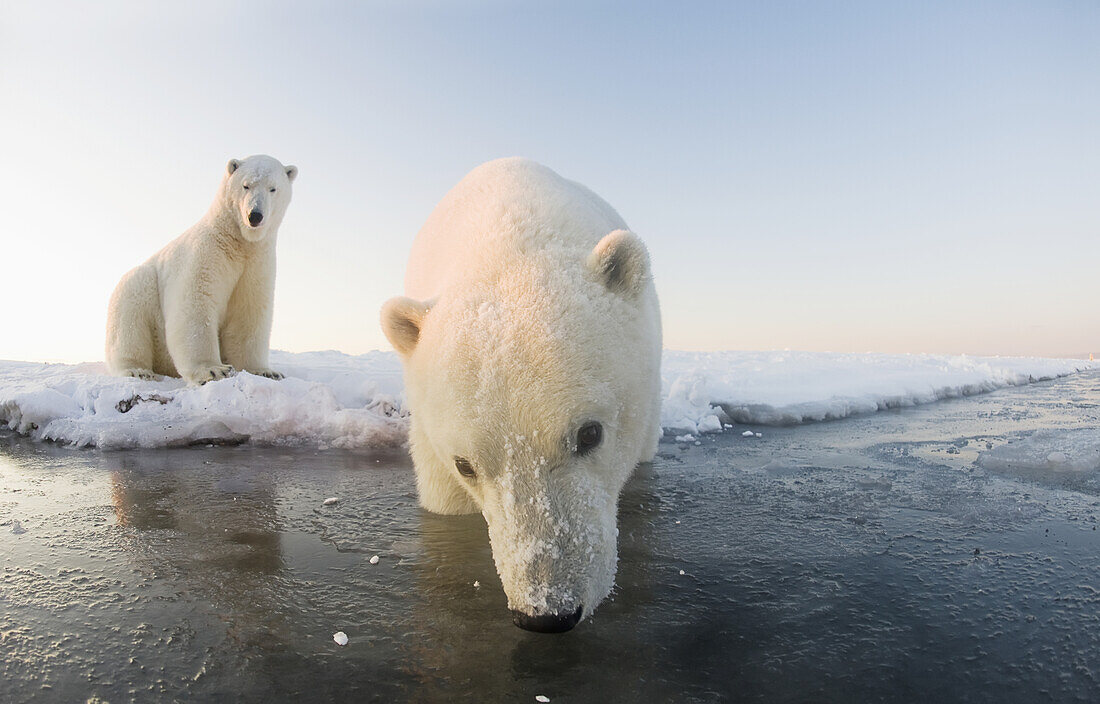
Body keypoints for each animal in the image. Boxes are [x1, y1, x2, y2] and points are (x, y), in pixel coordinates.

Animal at [105, 155, 297, 385]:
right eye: (246, 185)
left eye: (273, 188)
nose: (255, 215)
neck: (237, 241)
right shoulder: (206, 254)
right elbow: (196, 304)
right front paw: (214, 370)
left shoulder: (257, 263)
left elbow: (249, 311)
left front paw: (265, 371)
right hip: (140, 287)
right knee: (130, 322)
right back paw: (137, 370)